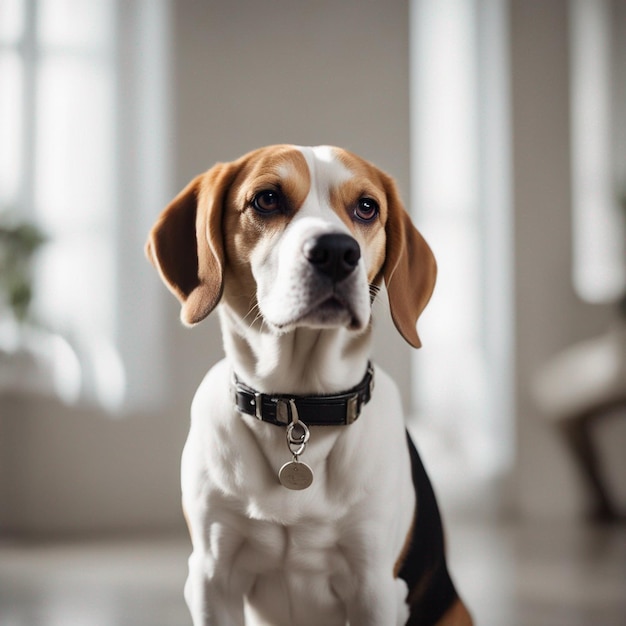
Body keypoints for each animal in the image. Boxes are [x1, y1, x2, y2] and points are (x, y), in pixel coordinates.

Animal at [145, 144, 468, 620]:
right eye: (266, 199)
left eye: (367, 207)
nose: (336, 251)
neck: (300, 408)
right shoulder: (211, 579)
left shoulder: (374, 587)